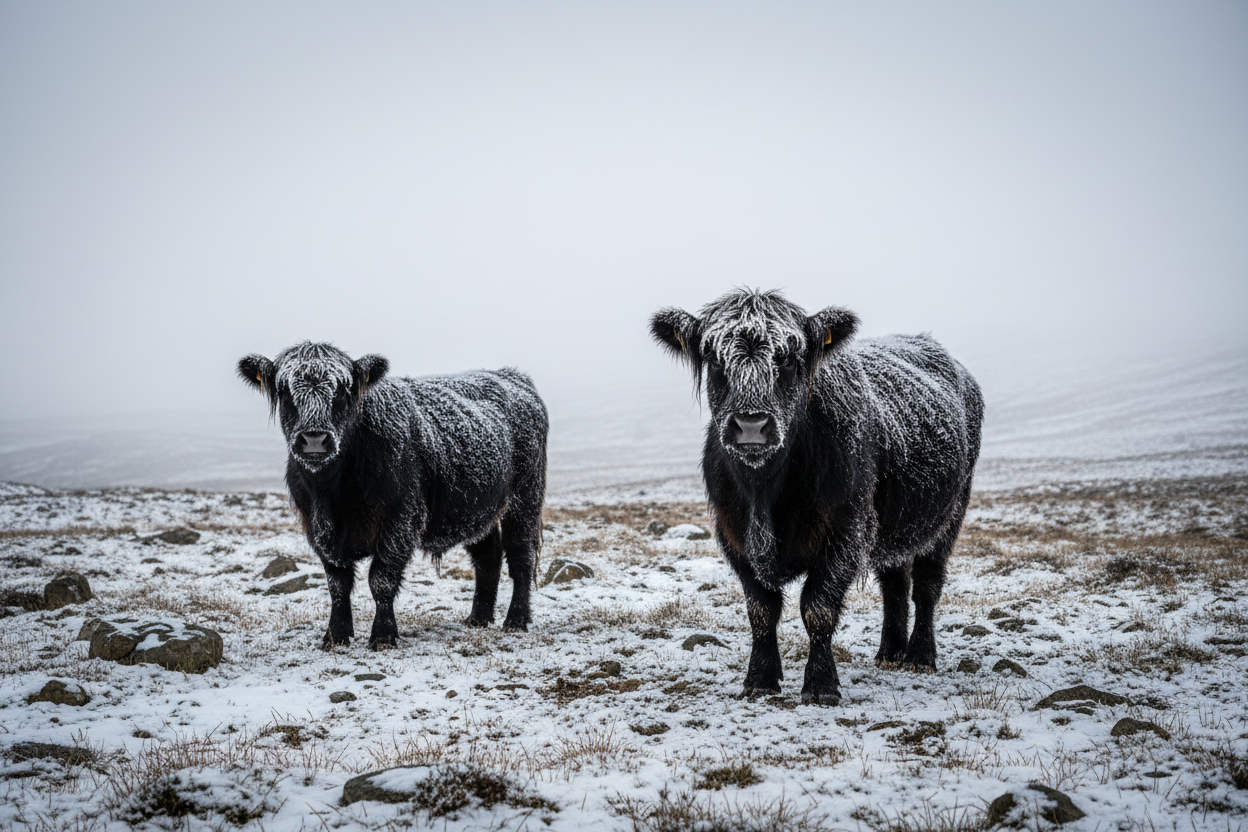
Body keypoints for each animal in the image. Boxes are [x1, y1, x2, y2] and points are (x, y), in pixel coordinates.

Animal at [237, 342, 548, 650]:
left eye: (343, 390)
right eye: (284, 391)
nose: (314, 439)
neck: (333, 494)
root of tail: (512, 376)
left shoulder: (400, 520)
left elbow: (381, 579)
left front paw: (383, 636)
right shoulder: (318, 528)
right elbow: (337, 584)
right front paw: (336, 636)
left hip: (525, 499)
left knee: (520, 556)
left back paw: (516, 619)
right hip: (477, 508)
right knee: (487, 557)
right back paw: (478, 617)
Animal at [650, 290, 982, 705]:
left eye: (789, 357)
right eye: (713, 357)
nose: (751, 426)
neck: (765, 492)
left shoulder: (844, 533)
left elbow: (818, 608)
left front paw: (821, 686)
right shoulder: (734, 537)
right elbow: (760, 611)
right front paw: (759, 680)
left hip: (947, 517)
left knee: (925, 586)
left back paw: (920, 656)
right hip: (891, 530)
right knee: (894, 585)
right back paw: (889, 653)